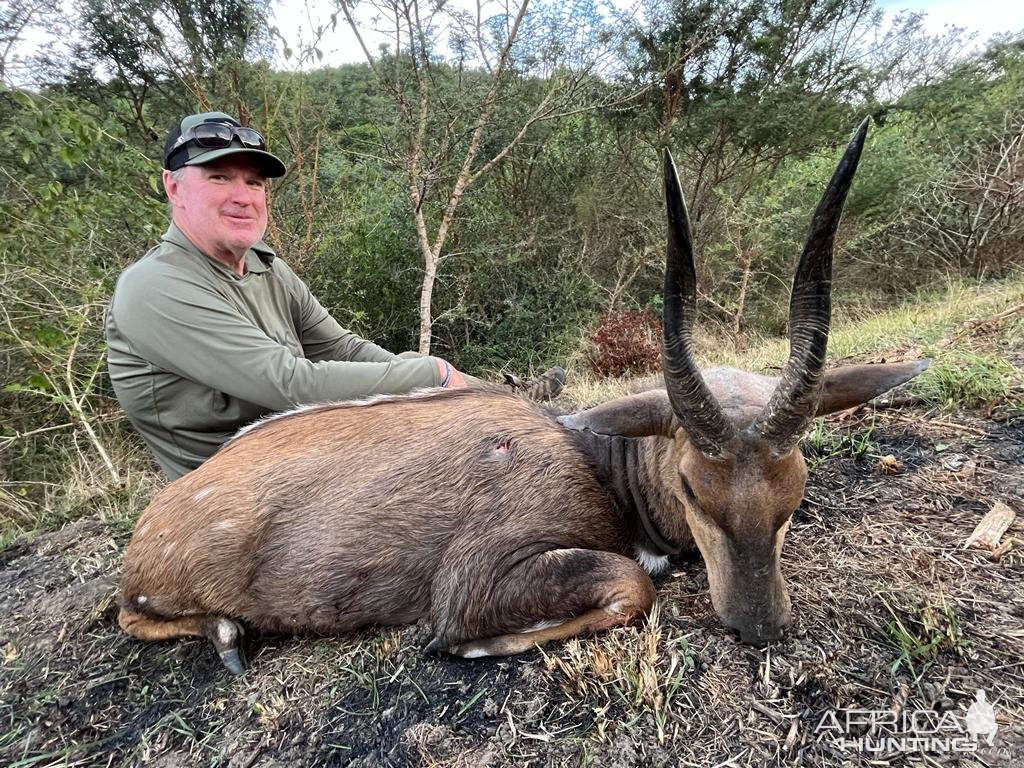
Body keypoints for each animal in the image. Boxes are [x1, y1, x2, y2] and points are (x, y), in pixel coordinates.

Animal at [117, 118, 929, 671]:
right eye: (695, 489)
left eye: (795, 495)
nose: (760, 625)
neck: (597, 458)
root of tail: (155, 520)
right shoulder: (478, 578)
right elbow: (631, 585)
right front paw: (462, 646)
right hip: (158, 596)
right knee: (134, 615)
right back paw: (227, 634)